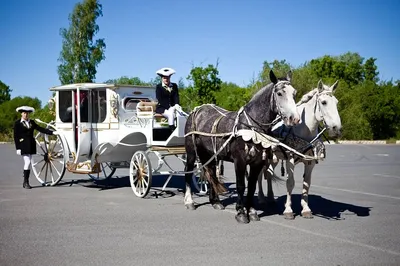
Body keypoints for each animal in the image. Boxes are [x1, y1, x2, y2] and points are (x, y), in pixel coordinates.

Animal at [184, 69, 300, 223]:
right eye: (280, 93)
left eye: (294, 93)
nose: (295, 118)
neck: (250, 126)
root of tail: (197, 110)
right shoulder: (239, 160)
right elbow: (241, 185)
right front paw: (241, 212)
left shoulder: (257, 162)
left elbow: (251, 186)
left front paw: (251, 211)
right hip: (191, 152)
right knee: (188, 171)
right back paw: (189, 201)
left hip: (209, 154)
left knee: (210, 172)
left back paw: (216, 201)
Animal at [260, 80, 340, 219]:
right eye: (324, 102)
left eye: (336, 102)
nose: (337, 128)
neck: (304, 131)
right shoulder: (290, 160)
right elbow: (290, 182)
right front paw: (288, 210)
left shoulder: (310, 162)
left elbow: (306, 183)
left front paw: (306, 209)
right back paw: (260, 197)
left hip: (274, 158)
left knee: (269, 173)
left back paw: (270, 198)